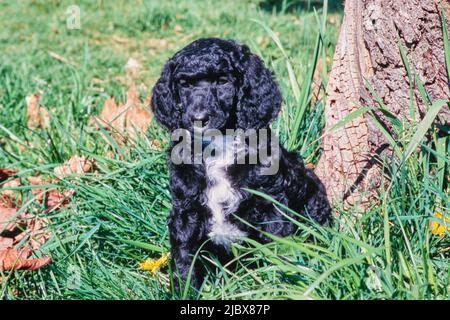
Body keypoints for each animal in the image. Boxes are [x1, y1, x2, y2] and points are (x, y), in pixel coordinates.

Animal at [151, 38, 330, 290]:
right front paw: (183, 291)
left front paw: (281, 285)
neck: (219, 147)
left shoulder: (270, 204)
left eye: (223, 81)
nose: (198, 118)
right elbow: (184, 257)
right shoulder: (185, 209)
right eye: (184, 84)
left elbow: (279, 249)